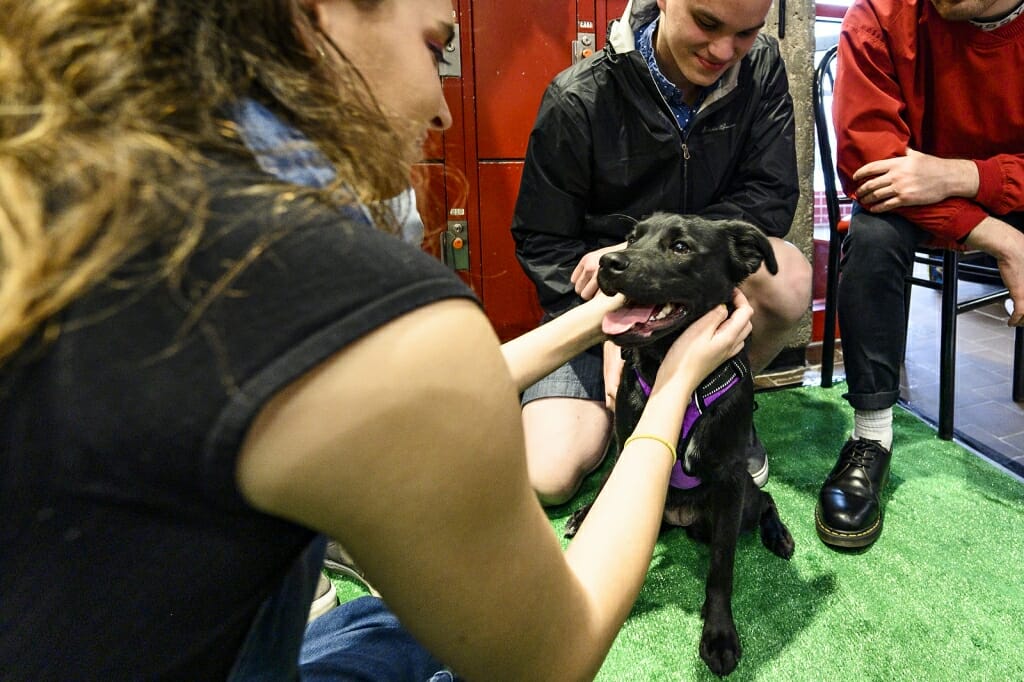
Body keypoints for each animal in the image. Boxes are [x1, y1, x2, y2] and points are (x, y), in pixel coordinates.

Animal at [565, 212, 794, 675]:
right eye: (631, 238)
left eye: (681, 247)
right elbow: (608, 490)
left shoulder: (730, 480)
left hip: (741, 503)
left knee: (765, 499)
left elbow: (722, 566)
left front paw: (719, 634)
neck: (676, 380)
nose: (608, 263)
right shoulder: (626, 445)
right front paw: (587, 516)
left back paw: (778, 534)